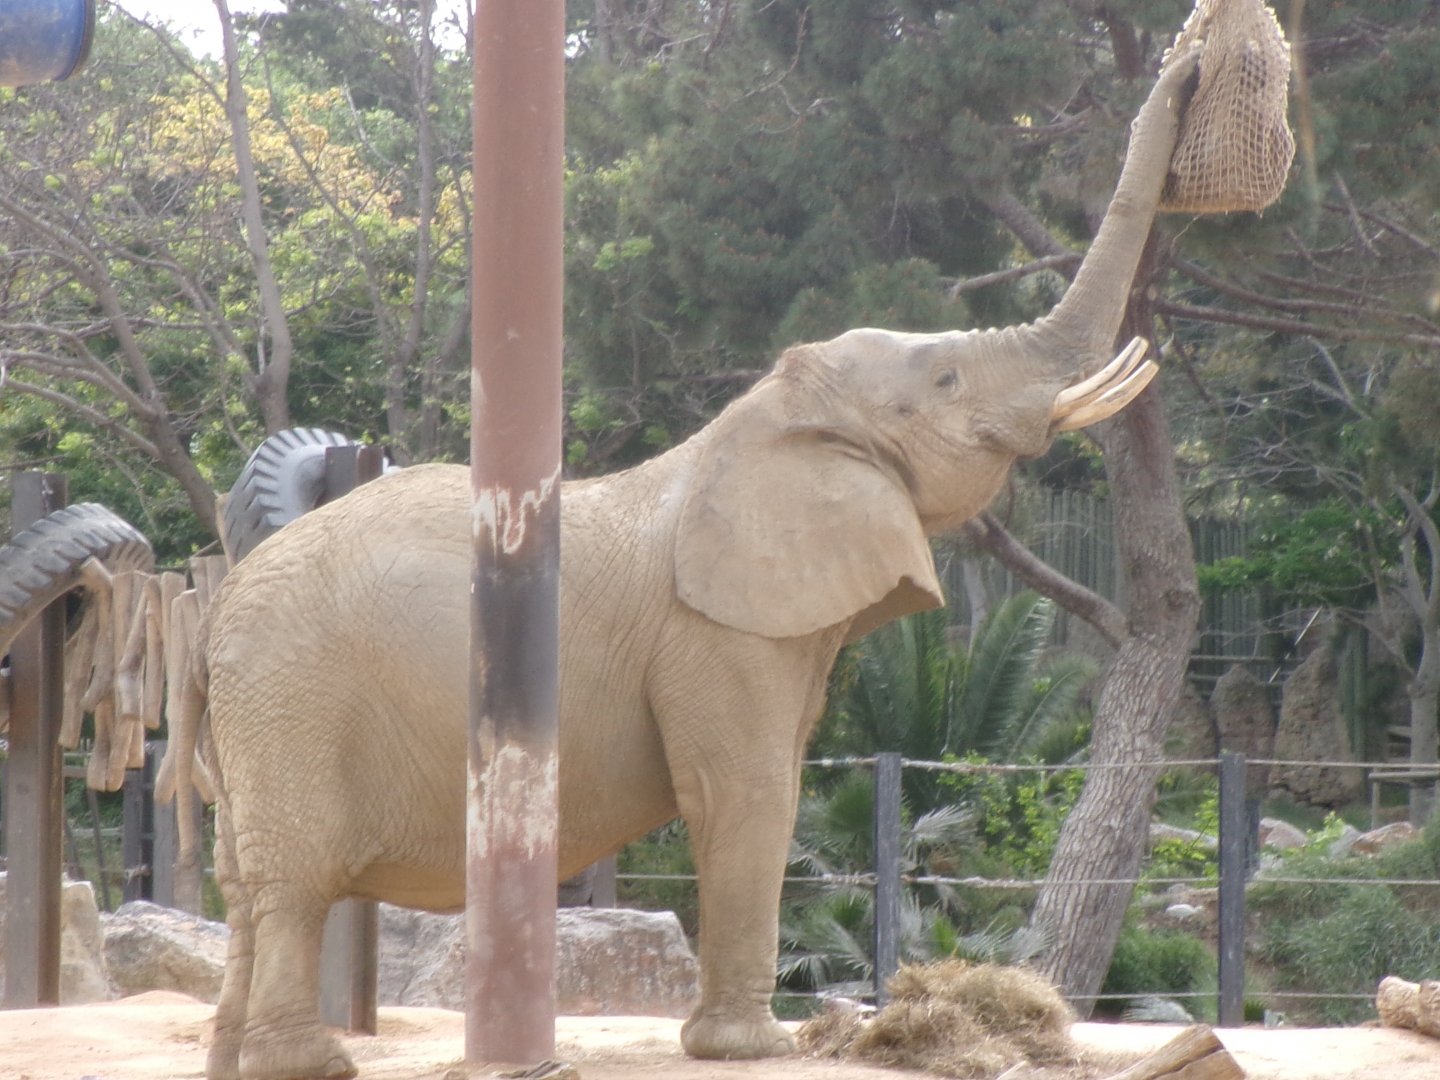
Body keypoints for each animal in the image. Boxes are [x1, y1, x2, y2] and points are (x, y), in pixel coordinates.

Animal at [189, 46, 1201, 1080]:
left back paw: (232, 1057)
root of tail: (216, 615)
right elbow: (746, 795)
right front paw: (754, 1048)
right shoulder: (717, 634)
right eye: (948, 380)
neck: (763, 423)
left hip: (257, 717)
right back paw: (305, 1063)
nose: (1190, 62)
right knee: (295, 880)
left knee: (245, 881)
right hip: (293, 700)